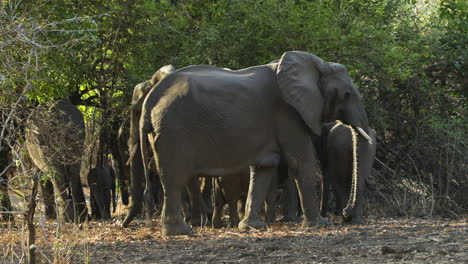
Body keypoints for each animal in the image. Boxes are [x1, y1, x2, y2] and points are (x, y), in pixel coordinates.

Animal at [136, 51, 372, 235]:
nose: (346, 215)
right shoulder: (288, 112)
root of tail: (150, 100)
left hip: (162, 131)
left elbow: (264, 167)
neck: (315, 64)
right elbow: (301, 162)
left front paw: (252, 227)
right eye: (346, 94)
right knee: (175, 177)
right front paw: (320, 225)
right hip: (174, 129)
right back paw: (181, 232)